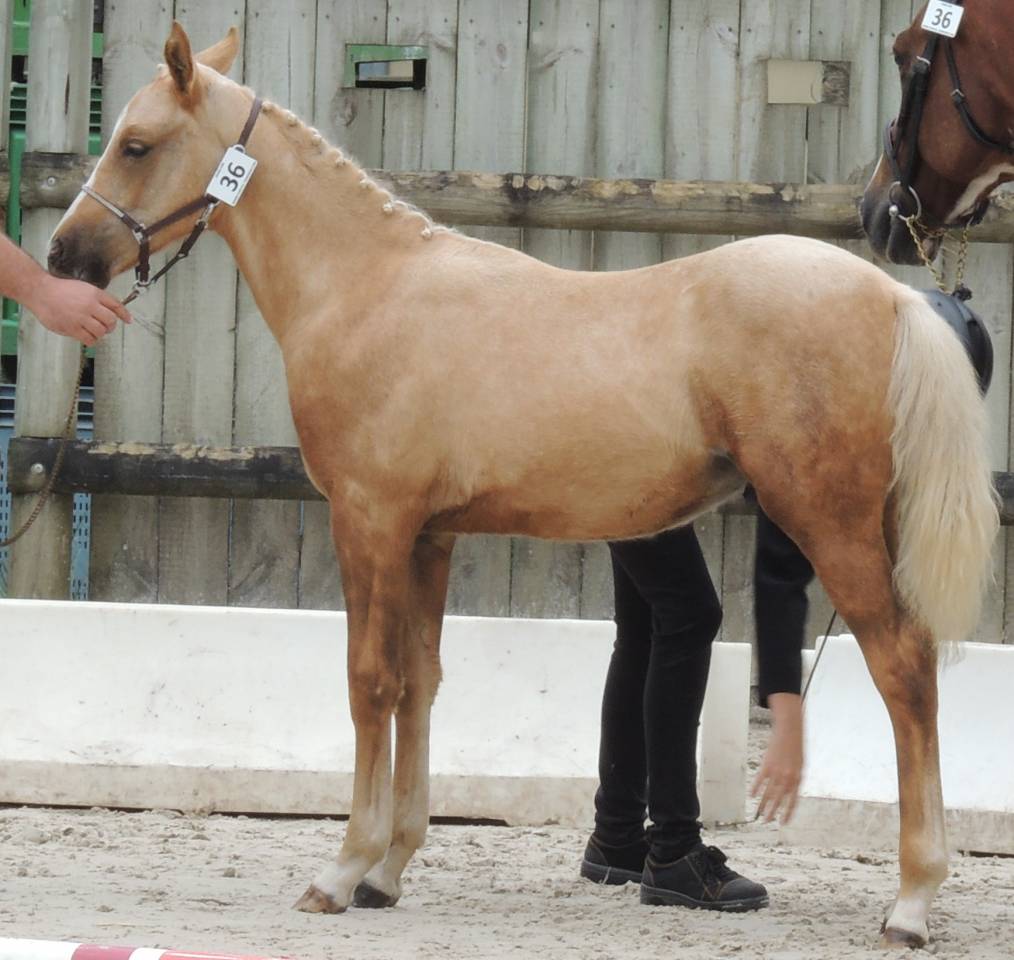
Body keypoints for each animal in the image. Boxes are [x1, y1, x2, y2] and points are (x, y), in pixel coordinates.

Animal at [47, 22, 998, 950]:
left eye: (136, 144)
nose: (63, 254)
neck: (368, 289)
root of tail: (891, 297)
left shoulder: (369, 521)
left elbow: (369, 683)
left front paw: (342, 871)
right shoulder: (428, 536)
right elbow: (420, 682)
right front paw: (390, 870)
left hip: (830, 524)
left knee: (904, 669)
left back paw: (912, 902)